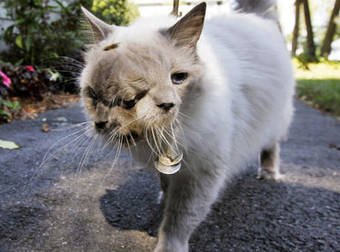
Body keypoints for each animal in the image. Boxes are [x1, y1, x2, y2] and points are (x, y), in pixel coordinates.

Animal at [79, 0, 292, 251]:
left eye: (178, 78)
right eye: (98, 93)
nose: (166, 104)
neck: (161, 135)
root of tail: (255, 16)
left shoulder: (201, 173)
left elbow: (179, 219)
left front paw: (168, 245)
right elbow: (165, 182)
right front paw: (163, 197)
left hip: (275, 120)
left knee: (271, 146)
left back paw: (269, 173)